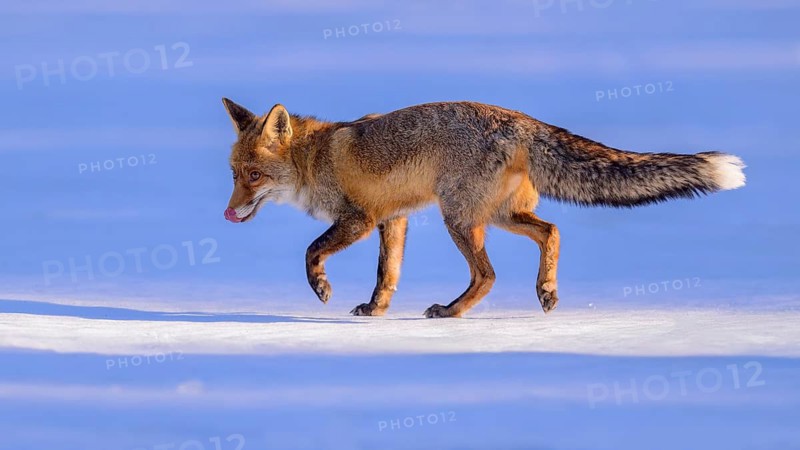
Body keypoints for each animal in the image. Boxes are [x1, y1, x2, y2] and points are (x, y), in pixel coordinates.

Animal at [221, 99, 746, 318]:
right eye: (233, 175)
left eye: (254, 176)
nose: (227, 214)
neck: (315, 158)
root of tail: (521, 119)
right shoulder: (394, 219)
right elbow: (387, 274)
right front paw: (375, 310)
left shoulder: (361, 219)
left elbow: (311, 251)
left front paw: (321, 288)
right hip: (497, 217)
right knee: (552, 230)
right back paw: (546, 290)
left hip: (459, 219)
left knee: (488, 275)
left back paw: (452, 312)